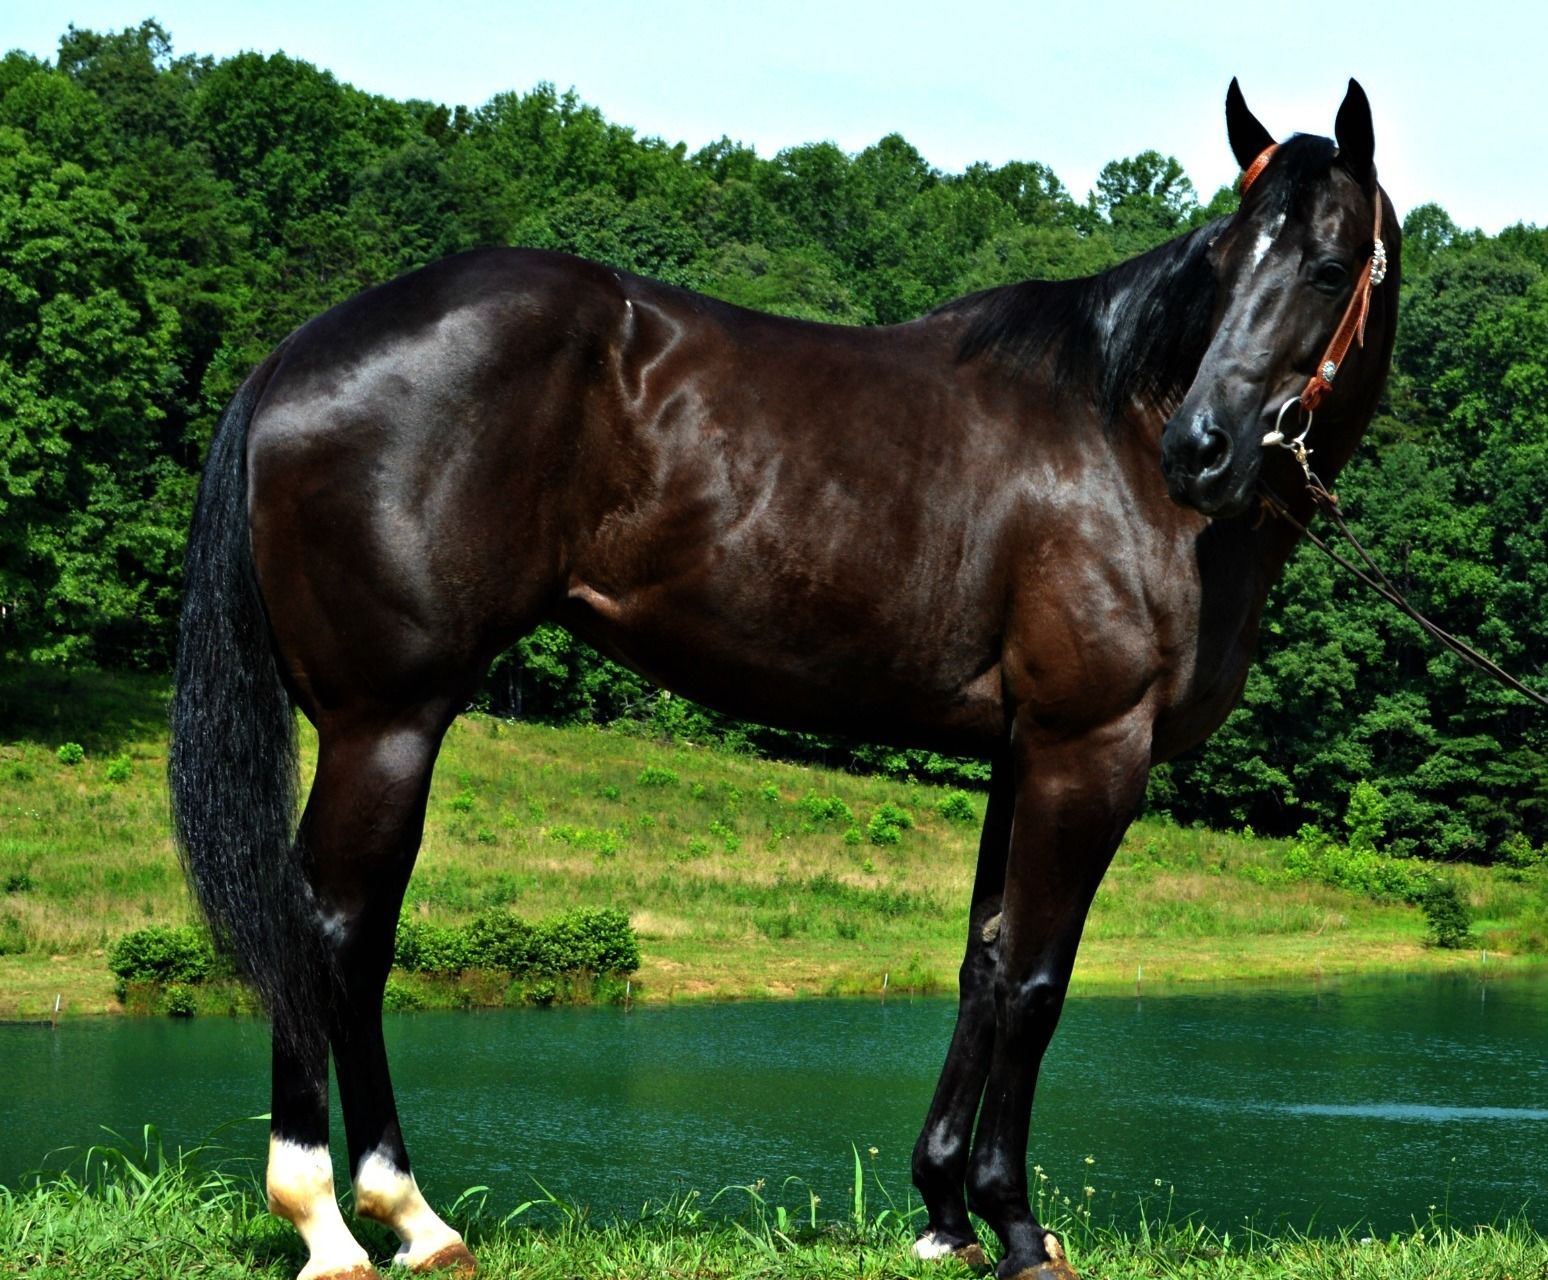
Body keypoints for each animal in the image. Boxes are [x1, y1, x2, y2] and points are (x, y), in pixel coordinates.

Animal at [168, 78, 1400, 1280]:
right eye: (1225, 260)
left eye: (1327, 265)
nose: (1203, 449)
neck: (1114, 436)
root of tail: (296, 353)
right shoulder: (1088, 748)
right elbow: (1037, 980)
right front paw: (1013, 1225)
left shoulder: (1021, 751)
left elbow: (984, 961)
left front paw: (945, 1213)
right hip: (386, 722)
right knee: (335, 930)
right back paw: (355, 1220)